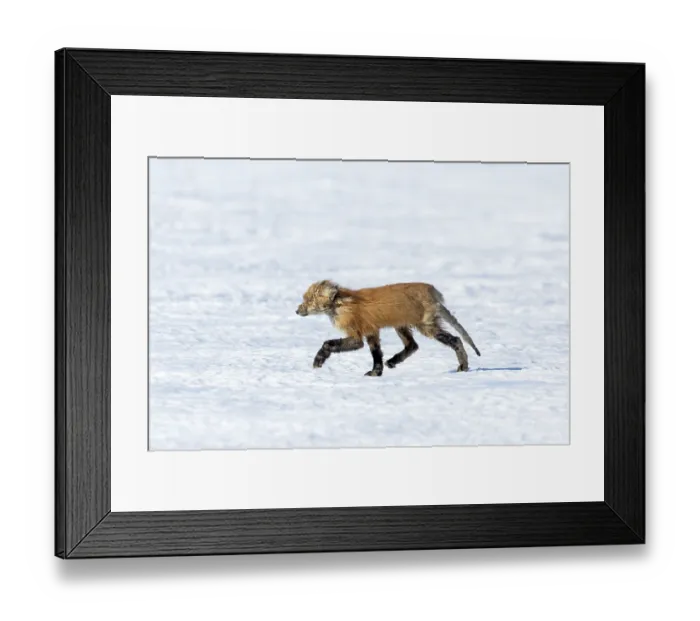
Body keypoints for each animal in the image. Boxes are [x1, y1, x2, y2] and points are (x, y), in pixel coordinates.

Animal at [295, 280, 481, 376]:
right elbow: (377, 355)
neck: (342, 305)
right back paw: (393, 361)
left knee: (456, 340)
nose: (297, 310)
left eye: (308, 300)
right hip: (402, 326)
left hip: (426, 327)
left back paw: (463, 366)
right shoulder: (371, 331)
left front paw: (318, 360)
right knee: (413, 345)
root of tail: (433, 292)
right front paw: (376, 373)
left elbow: (328, 344)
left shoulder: (357, 335)